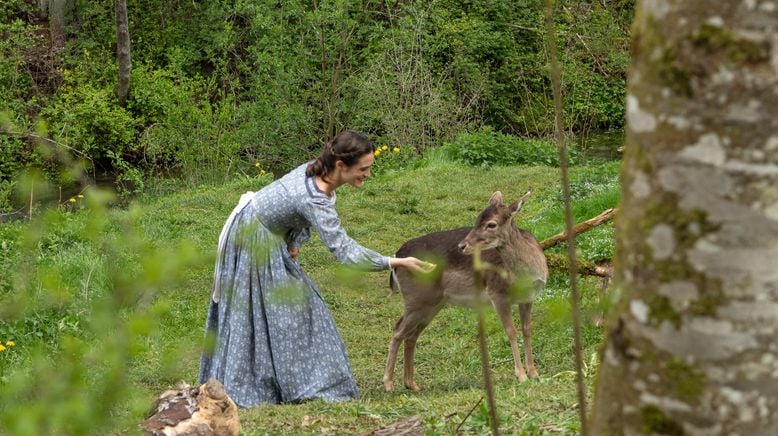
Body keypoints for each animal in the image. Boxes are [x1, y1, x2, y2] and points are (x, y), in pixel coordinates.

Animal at [382, 191, 544, 392]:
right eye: (476, 219)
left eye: (491, 224)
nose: (462, 246)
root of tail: (396, 258)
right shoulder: (497, 293)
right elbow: (511, 331)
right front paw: (521, 375)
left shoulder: (528, 297)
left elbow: (527, 329)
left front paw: (534, 373)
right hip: (416, 298)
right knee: (398, 330)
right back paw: (388, 383)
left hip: (432, 303)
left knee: (411, 334)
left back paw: (411, 383)